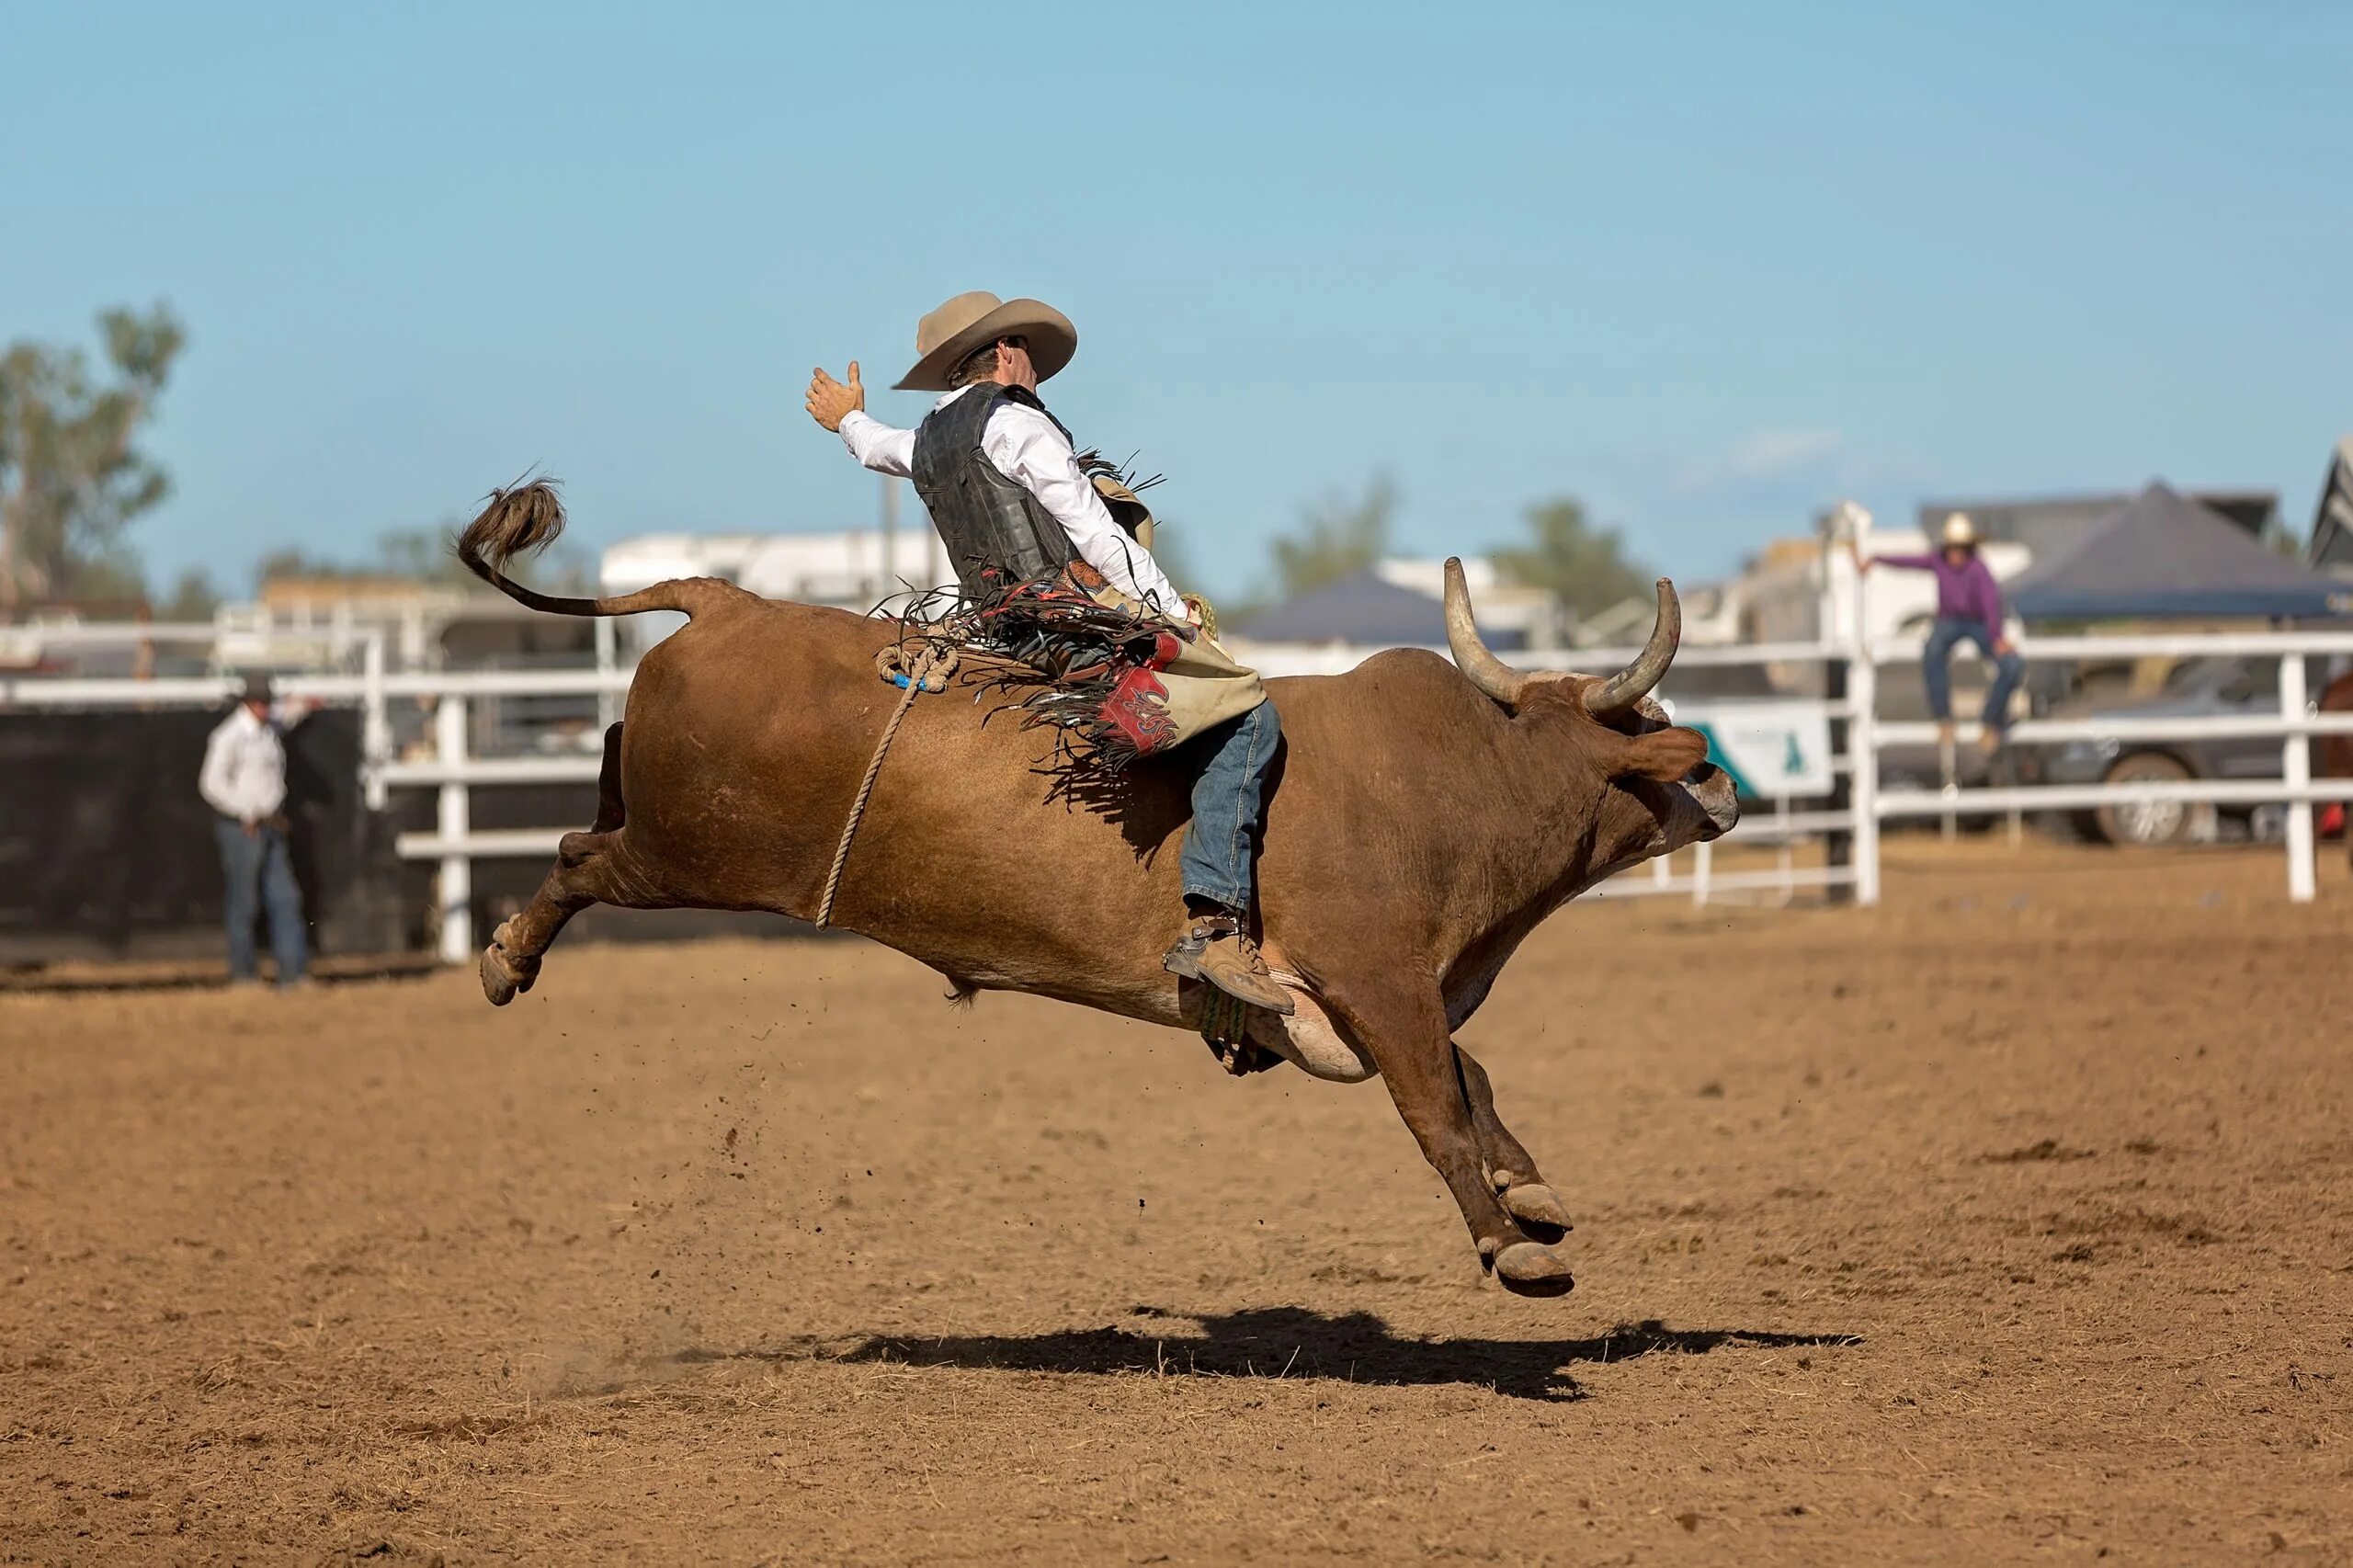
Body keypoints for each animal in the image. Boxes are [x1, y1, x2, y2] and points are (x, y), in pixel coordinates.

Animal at [463, 483, 1750, 1290]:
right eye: (1644, 719)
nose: (1722, 787)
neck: (1459, 777)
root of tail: (726, 600)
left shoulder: (1395, 996)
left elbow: (1469, 1079)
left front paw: (1530, 1192)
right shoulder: (1379, 982)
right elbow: (1435, 1103)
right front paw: (1509, 1243)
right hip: (686, 850)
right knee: (577, 859)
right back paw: (503, 956)